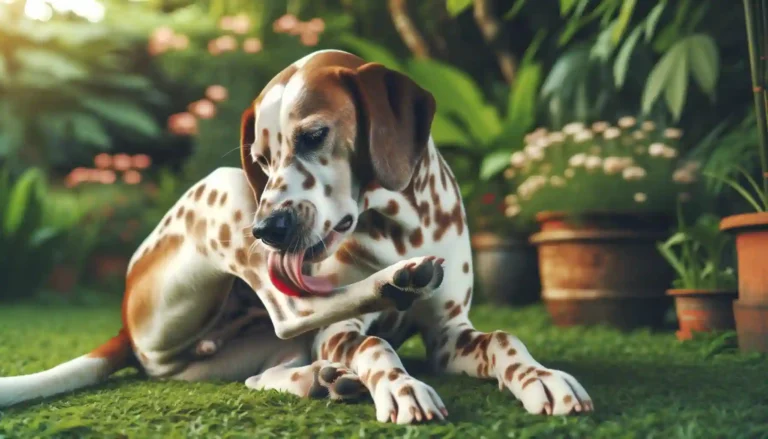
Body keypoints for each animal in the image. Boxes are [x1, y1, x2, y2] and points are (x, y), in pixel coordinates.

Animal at [0, 49, 592, 424]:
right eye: (261, 161)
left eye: (313, 136)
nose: (266, 230)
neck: (400, 228)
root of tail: (125, 320)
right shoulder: (338, 330)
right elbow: (374, 343)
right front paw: (400, 388)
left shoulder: (449, 334)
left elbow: (503, 339)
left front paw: (540, 377)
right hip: (225, 189)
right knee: (292, 313)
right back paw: (390, 288)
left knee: (261, 372)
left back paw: (321, 380)